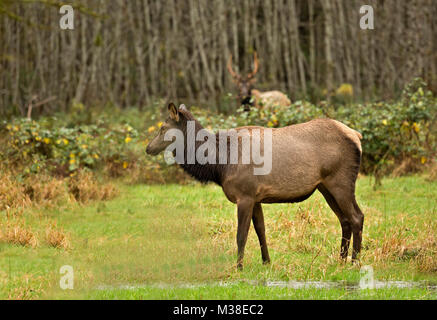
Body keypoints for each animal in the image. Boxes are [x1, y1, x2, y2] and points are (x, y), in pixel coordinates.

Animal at [145, 102, 362, 270]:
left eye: (163, 128)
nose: (148, 148)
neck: (219, 165)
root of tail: (357, 136)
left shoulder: (245, 195)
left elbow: (241, 235)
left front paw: (239, 267)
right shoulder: (256, 197)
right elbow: (261, 230)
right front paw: (266, 262)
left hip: (341, 181)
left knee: (357, 216)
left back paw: (355, 262)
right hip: (325, 186)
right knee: (344, 220)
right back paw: (340, 260)